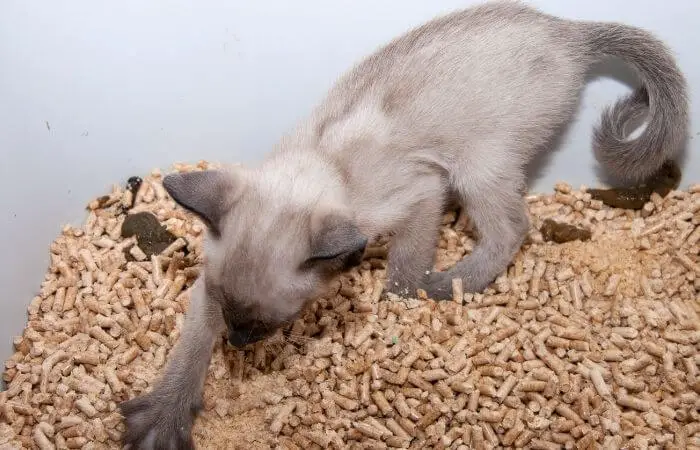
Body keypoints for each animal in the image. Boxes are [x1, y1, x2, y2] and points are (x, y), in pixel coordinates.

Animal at [121, 2, 688, 446]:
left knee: (512, 230)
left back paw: (448, 285)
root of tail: (566, 29)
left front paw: (401, 308)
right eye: (228, 315)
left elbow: (402, 272)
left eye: (267, 325)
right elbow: (190, 349)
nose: (237, 344)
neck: (328, 165)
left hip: (476, 165)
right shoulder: (208, 287)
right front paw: (162, 420)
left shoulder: (421, 196)